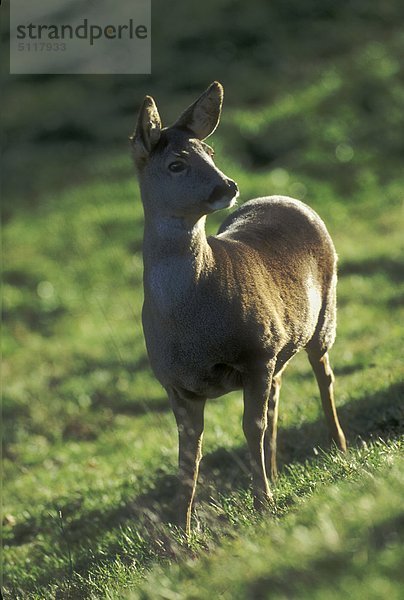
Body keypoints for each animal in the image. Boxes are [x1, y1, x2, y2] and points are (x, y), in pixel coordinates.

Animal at [130, 79, 348, 536]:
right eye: (176, 164)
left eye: (210, 151)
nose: (227, 186)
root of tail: (287, 197)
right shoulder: (175, 382)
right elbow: (187, 456)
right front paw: (180, 530)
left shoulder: (257, 350)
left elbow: (251, 426)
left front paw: (263, 504)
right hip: (284, 340)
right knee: (279, 393)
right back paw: (277, 471)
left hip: (324, 315)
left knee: (323, 375)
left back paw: (338, 447)